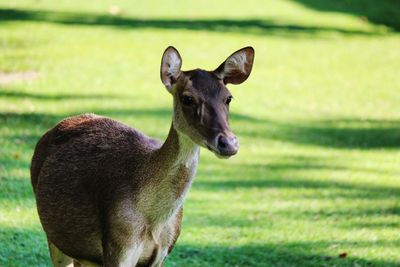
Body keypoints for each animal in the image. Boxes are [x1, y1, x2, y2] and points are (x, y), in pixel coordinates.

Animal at [32, 46, 256, 267]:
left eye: (228, 97)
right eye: (187, 98)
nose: (228, 143)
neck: (154, 222)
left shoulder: (161, 255)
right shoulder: (118, 247)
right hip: (54, 238)